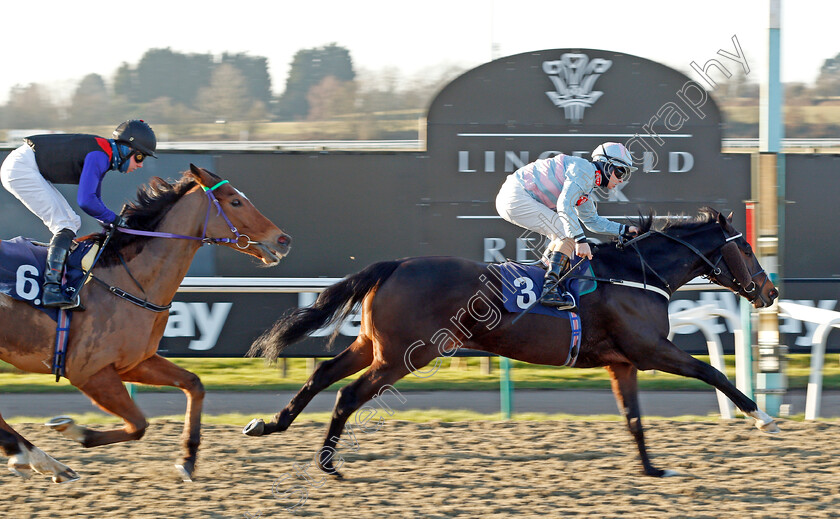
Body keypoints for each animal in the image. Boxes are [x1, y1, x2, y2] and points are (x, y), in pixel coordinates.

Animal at [0, 164, 290, 484]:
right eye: (235, 202)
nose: (283, 240)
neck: (127, 281)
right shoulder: (88, 371)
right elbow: (138, 425)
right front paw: (74, 430)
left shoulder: (134, 362)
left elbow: (194, 384)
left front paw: (188, 460)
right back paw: (42, 459)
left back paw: (35, 458)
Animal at [244, 208, 780, 480]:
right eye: (746, 246)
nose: (770, 291)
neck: (635, 273)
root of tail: (395, 265)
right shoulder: (650, 350)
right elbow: (712, 371)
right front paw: (761, 416)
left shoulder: (622, 363)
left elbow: (633, 418)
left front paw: (651, 469)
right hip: (404, 355)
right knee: (349, 394)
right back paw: (327, 464)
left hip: (374, 346)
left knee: (321, 375)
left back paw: (269, 425)